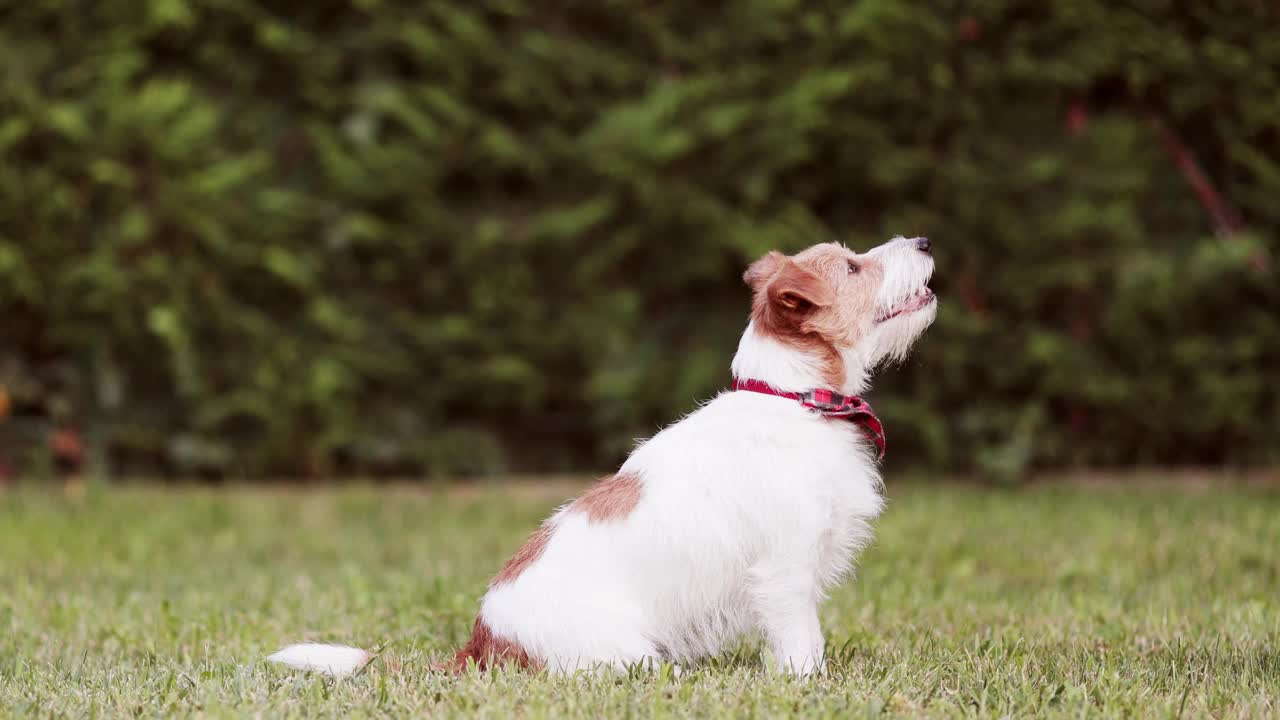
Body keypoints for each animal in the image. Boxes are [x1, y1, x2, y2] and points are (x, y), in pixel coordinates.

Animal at [270, 235, 936, 671]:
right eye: (853, 266)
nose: (925, 239)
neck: (794, 398)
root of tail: (482, 644)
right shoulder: (786, 570)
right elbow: (802, 646)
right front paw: (809, 688)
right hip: (628, 655)